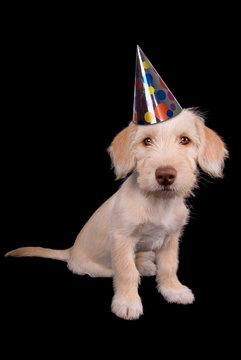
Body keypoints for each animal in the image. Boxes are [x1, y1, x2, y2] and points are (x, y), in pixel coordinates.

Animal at [5, 109, 228, 320]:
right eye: (147, 141)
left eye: (185, 140)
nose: (165, 175)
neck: (157, 202)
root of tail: (71, 251)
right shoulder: (122, 239)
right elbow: (126, 272)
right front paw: (127, 303)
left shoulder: (170, 239)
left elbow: (169, 267)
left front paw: (173, 290)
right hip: (94, 268)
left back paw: (145, 264)